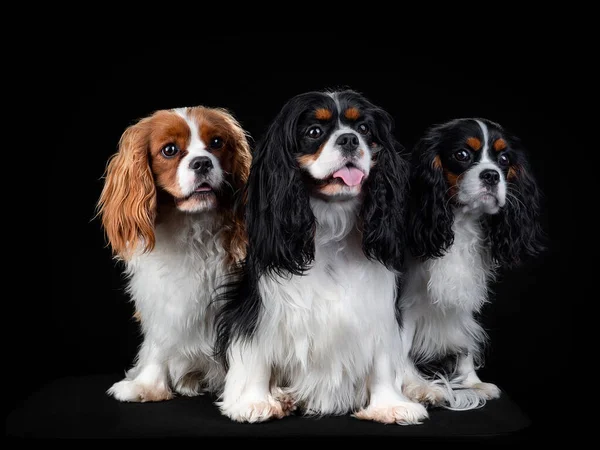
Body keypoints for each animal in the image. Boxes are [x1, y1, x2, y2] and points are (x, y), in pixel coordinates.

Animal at [98, 107, 251, 402]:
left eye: (217, 143)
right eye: (169, 150)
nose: (202, 162)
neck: (192, 227)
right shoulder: (162, 296)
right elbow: (158, 342)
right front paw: (147, 385)